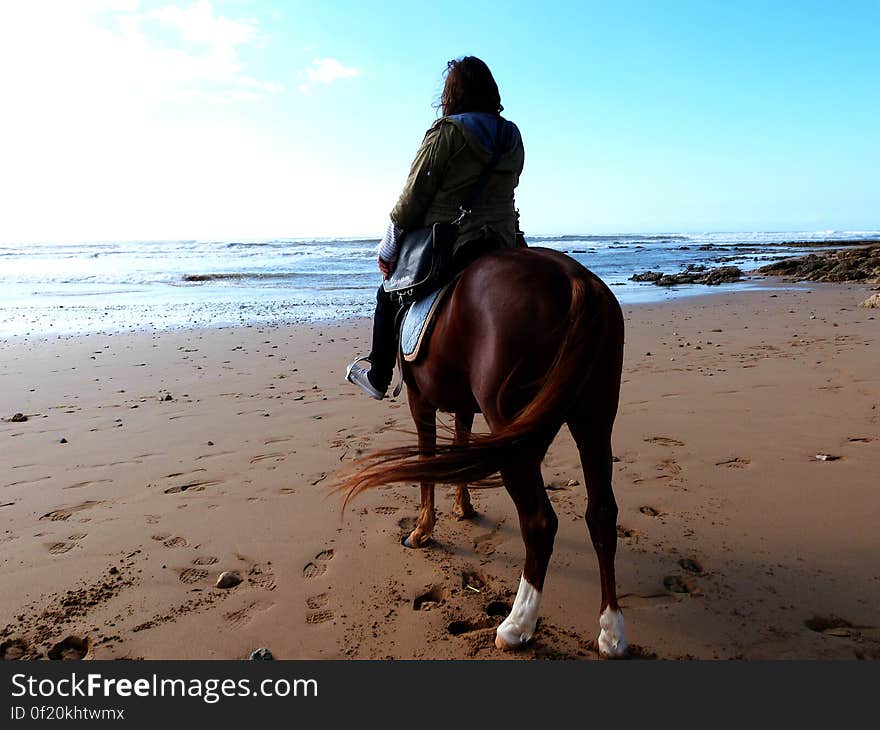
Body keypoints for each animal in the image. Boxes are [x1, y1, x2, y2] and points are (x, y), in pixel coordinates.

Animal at [342, 245, 624, 656]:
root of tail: (574, 278)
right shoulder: (463, 406)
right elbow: (460, 446)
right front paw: (464, 508)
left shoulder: (419, 401)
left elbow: (427, 464)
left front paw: (422, 531)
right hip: (594, 420)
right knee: (602, 514)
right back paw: (612, 632)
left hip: (518, 435)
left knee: (540, 522)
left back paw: (517, 625)